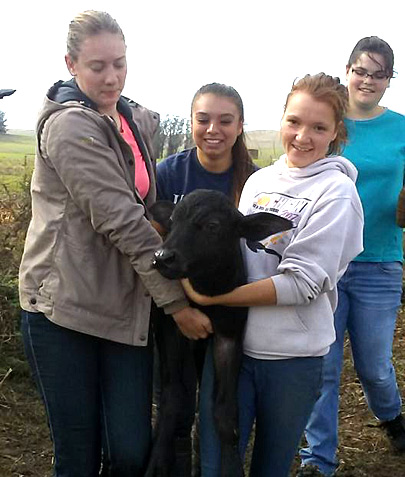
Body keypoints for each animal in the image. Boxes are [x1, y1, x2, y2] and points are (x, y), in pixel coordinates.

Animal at [145, 190, 290, 476]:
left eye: (213, 225)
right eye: (173, 220)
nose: (162, 257)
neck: (207, 296)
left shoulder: (230, 335)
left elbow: (224, 411)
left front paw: (231, 466)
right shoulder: (170, 327)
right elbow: (172, 394)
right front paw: (157, 459)